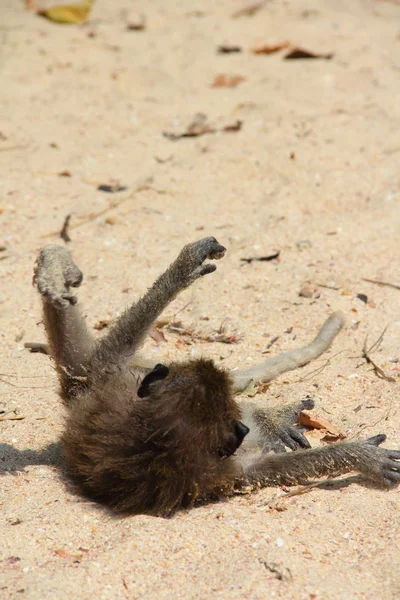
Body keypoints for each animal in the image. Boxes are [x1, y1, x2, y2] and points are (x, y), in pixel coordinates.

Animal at [34, 238, 400, 516]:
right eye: (232, 423)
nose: (244, 428)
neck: (154, 442)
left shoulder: (112, 392)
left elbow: (95, 361)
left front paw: (182, 269)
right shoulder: (220, 472)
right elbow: (271, 470)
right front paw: (360, 457)